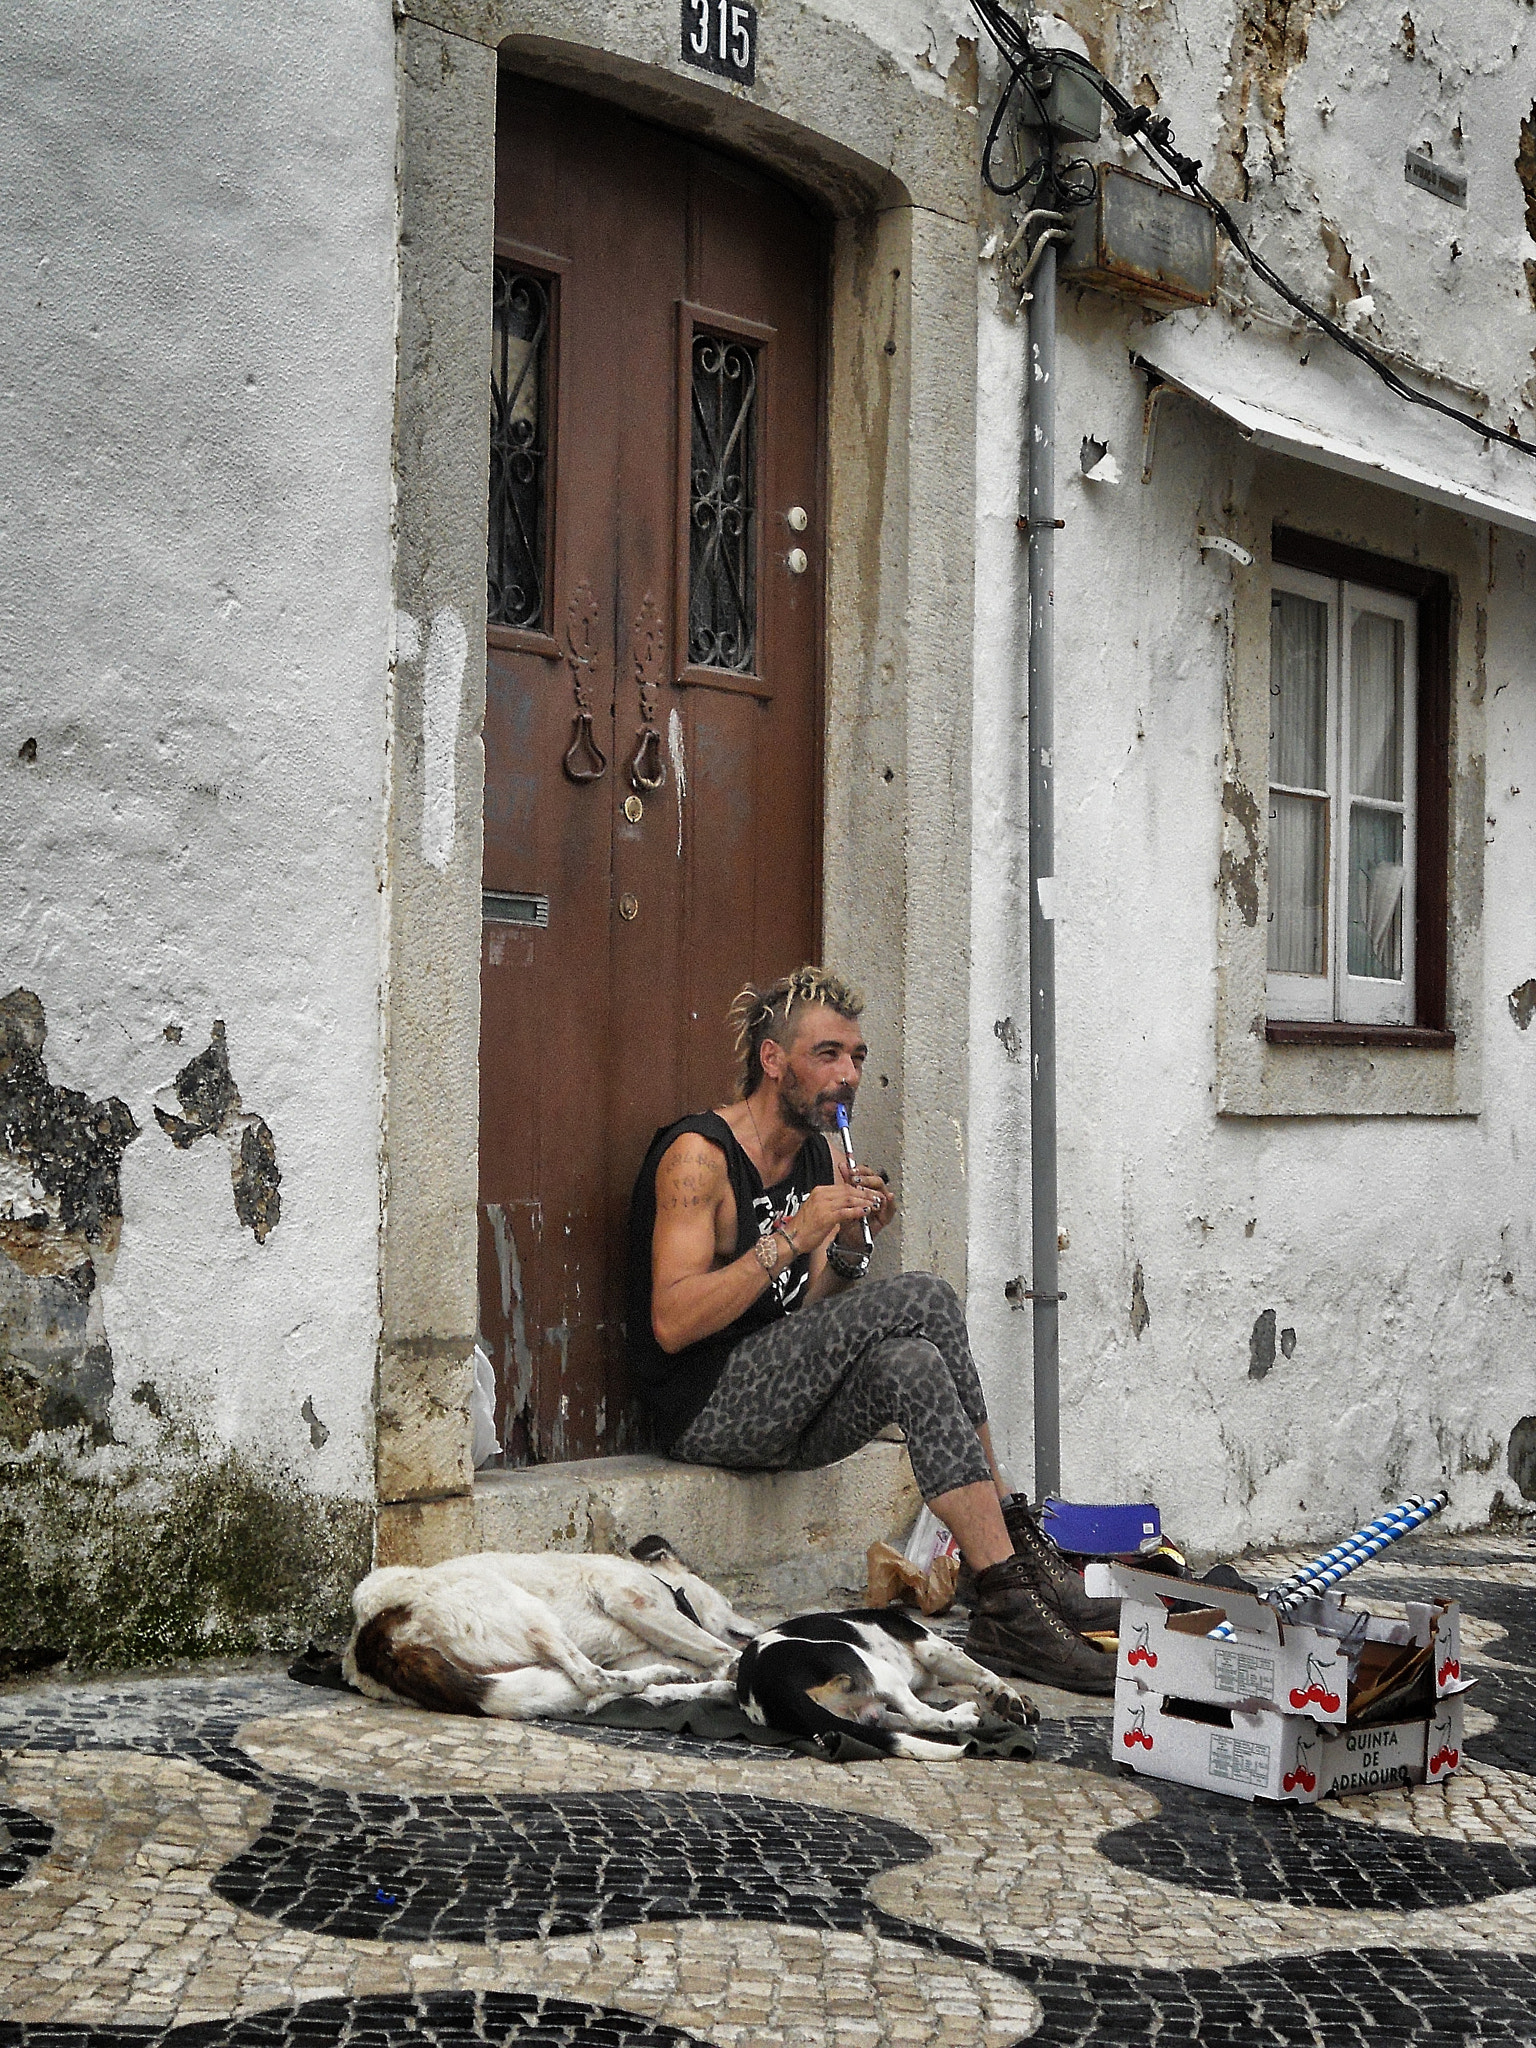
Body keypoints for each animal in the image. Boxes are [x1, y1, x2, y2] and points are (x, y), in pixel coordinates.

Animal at [741, 1597, 1040, 1761]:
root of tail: (773, 1687)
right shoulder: (931, 1648)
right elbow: (980, 1671)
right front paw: (1010, 1697)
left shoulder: (927, 1686)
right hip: (877, 1668)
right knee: (923, 1717)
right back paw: (967, 1717)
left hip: (871, 1709)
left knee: (907, 1722)